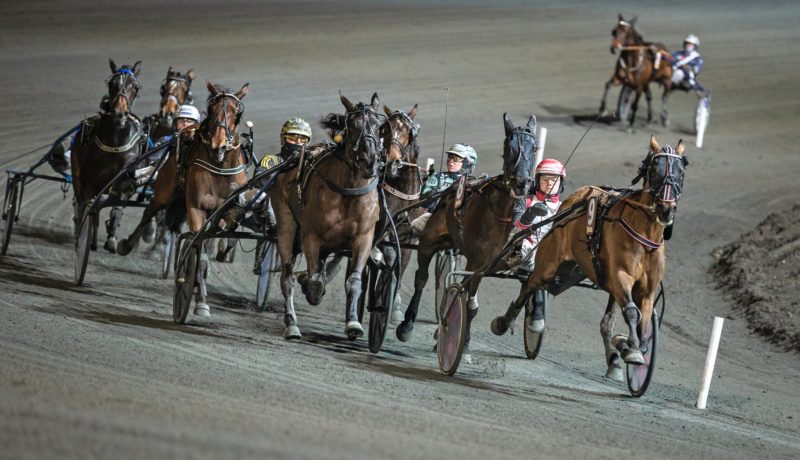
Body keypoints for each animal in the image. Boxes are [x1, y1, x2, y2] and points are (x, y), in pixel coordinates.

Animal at [70, 59, 145, 253]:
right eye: (112, 84)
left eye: (135, 86)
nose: (119, 114)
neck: (116, 140)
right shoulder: (89, 181)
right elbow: (87, 206)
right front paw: (82, 237)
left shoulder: (125, 179)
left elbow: (116, 208)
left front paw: (111, 238)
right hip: (77, 175)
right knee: (81, 202)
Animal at [270, 91, 386, 340]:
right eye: (352, 125)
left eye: (379, 126)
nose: (369, 161)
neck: (348, 192)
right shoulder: (311, 236)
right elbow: (314, 281)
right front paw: (309, 286)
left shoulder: (364, 238)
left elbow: (354, 281)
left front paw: (353, 324)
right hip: (286, 223)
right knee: (287, 276)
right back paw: (291, 323)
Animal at [396, 114, 536, 348]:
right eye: (509, 146)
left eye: (534, 147)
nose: (521, 182)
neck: (496, 212)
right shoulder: (475, 261)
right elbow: (463, 295)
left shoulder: (484, 266)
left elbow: (471, 302)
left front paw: (461, 338)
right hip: (429, 240)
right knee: (421, 278)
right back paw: (407, 324)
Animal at [494, 135, 688, 382]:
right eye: (655, 168)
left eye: (681, 170)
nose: (666, 209)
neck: (644, 236)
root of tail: (573, 200)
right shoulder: (620, 276)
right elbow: (631, 312)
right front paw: (630, 349)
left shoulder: (646, 290)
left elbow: (643, 326)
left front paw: (626, 345)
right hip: (549, 265)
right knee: (530, 283)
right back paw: (507, 321)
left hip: (572, 271)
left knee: (603, 319)